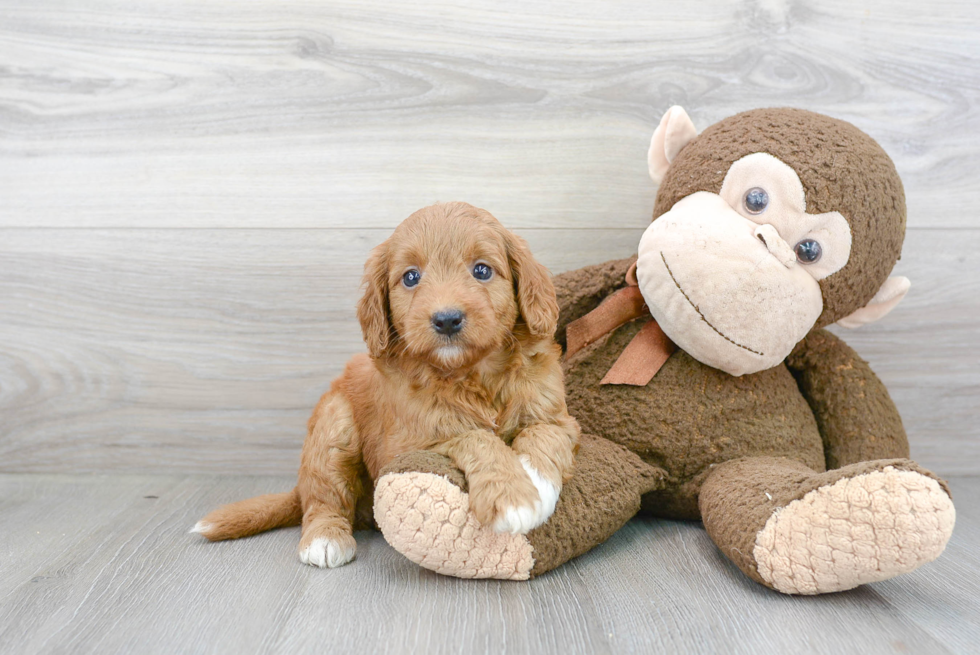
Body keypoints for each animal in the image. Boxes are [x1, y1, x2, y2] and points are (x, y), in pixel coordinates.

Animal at [189, 202, 580, 568]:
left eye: (482, 270)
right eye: (410, 277)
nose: (447, 319)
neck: (471, 373)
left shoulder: (559, 417)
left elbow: (544, 433)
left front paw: (535, 480)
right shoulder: (407, 444)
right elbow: (474, 436)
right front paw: (512, 496)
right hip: (333, 424)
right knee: (322, 499)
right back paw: (325, 538)